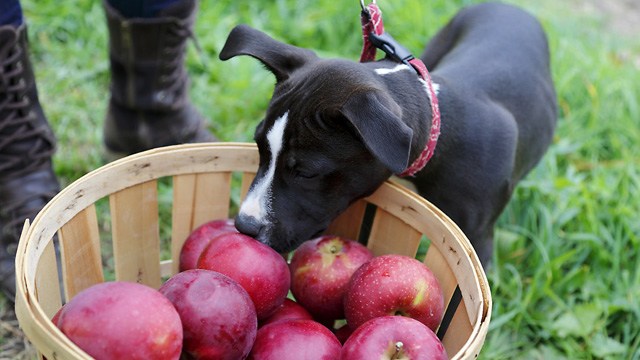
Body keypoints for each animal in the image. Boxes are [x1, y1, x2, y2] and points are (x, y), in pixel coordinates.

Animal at [219, 2, 556, 264]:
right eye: (260, 148)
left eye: (307, 173)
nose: (244, 226)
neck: (439, 132)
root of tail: (512, 8)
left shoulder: (477, 240)